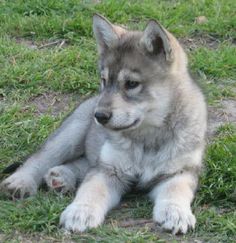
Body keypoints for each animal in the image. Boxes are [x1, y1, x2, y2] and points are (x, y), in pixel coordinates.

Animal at [0, 14, 206, 234]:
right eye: (104, 80)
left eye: (131, 84)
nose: (99, 116)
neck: (146, 137)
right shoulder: (108, 169)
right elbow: (91, 189)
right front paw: (81, 211)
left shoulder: (179, 171)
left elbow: (176, 191)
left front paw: (176, 213)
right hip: (71, 134)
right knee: (41, 158)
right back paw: (21, 182)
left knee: (82, 163)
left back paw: (61, 177)